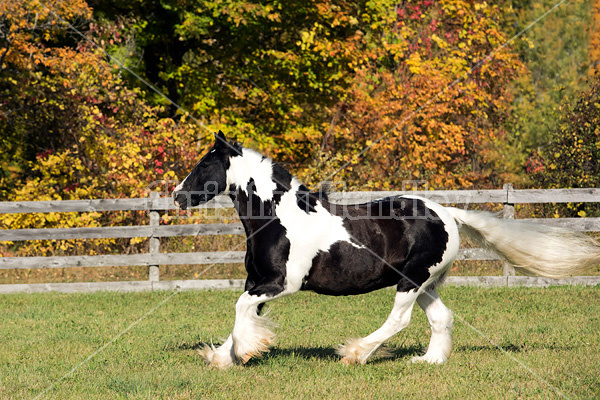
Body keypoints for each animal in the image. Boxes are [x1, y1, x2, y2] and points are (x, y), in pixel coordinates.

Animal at [173, 131, 600, 368]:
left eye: (204, 165)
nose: (177, 196)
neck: (277, 218)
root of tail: (447, 213)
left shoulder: (280, 283)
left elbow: (240, 310)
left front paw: (243, 351)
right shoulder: (257, 281)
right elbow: (242, 313)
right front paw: (223, 357)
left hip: (411, 281)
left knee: (400, 320)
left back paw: (355, 353)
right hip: (424, 282)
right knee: (441, 318)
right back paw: (427, 361)